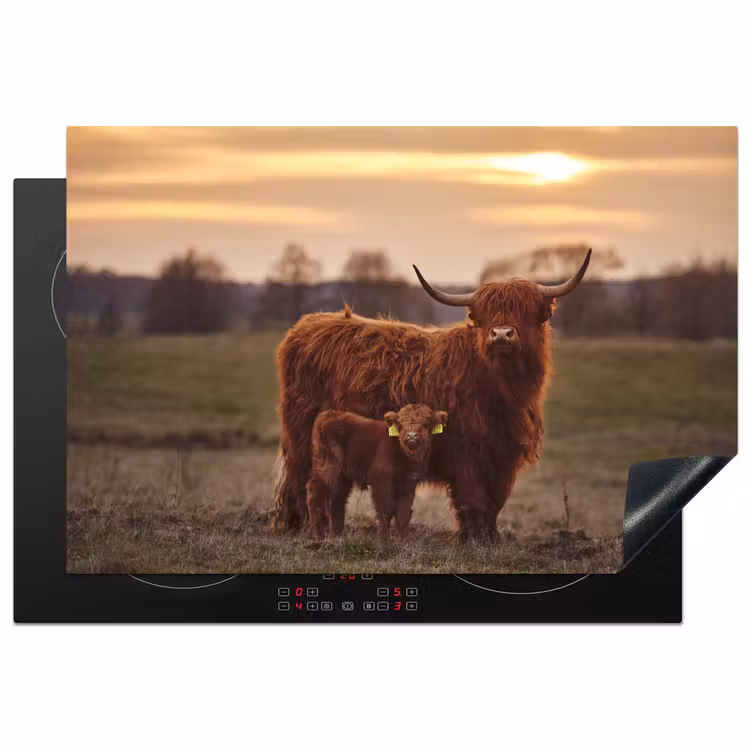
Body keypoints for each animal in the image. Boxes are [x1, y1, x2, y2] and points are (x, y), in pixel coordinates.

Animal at [306, 404, 448, 539]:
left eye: (426, 423)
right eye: (401, 424)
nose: (412, 435)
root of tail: (329, 414)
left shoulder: (408, 484)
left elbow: (403, 513)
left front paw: (404, 540)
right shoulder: (381, 480)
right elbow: (386, 510)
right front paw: (384, 540)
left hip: (342, 475)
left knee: (337, 500)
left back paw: (337, 535)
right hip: (328, 469)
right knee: (316, 494)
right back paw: (316, 535)